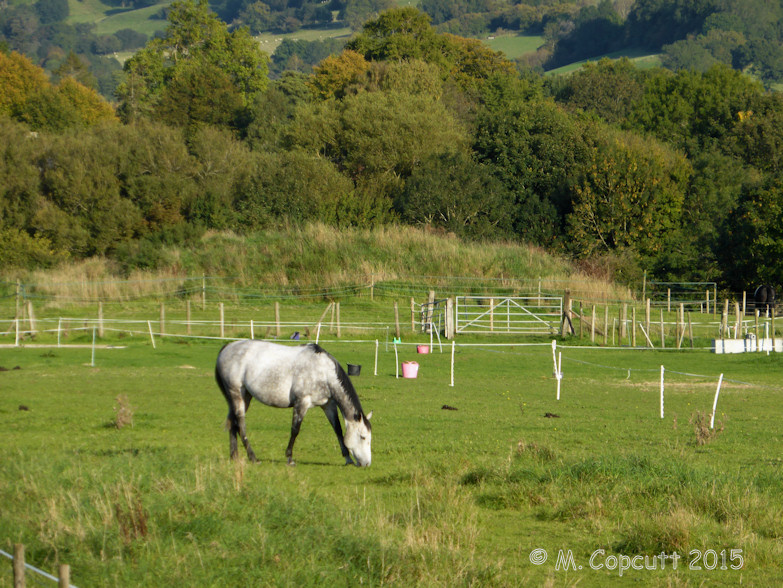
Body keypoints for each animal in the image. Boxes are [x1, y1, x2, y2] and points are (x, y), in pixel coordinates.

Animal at [214, 342, 374, 466]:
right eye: (363, 437)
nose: (366, 463)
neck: (323, 371)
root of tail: (227, 347)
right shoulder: (301, 403)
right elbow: (295, 430)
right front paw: (290, 458)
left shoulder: (328, 406)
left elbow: (338, 430)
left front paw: (347, 458)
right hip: (237, 394)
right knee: (241, 425)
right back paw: (253, 458)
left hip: (244, 397)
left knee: (233, 423)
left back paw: (234, 456)